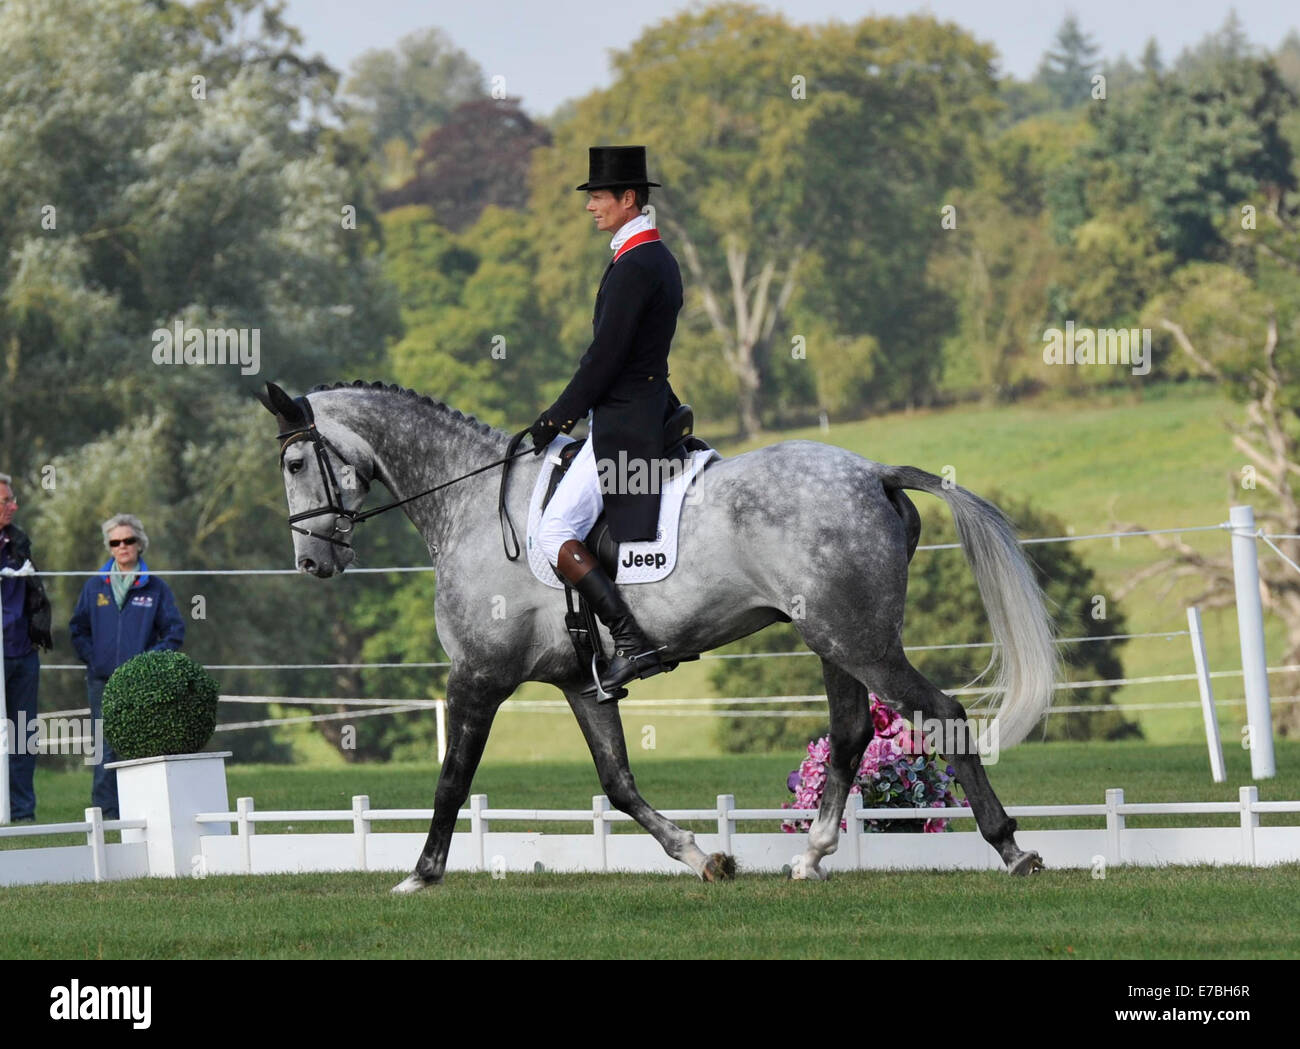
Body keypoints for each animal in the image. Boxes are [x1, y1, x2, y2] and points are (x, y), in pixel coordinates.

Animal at [261, 382, 1055, 889]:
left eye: (296, 462)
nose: (312, 562)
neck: (474, 503)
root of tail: (875, 473)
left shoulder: (478, 676)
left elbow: (454, 777)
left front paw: (421, 876)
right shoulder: (582, 684)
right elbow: (618, 784)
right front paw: (704, 858)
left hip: (860, 641)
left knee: (941, 714)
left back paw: (1012, 850)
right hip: (834, 638)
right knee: (854, 731)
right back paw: (811, 858)